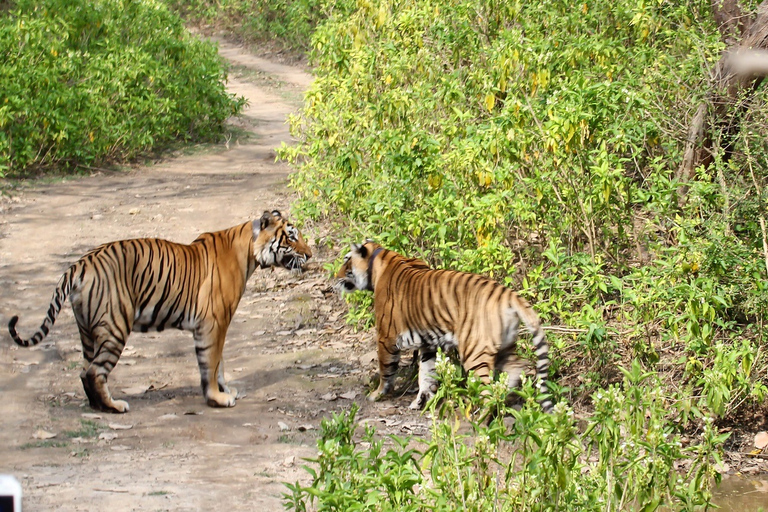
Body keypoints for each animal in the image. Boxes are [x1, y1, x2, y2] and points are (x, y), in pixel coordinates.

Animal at [7, 210, 310, 414]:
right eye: (291, 237)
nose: (310, 253)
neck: (248, 251)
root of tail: (80, 263)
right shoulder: (214, 323)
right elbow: (212, 363)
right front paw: (217, 398)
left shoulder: (216, 325)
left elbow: (220, 364)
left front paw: (226, 390)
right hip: (115, 327)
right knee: (94, 372)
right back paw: (115, 406)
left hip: (86, 330)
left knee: (84, 371)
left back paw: (97, 406)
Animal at [336, 240, 552, 412]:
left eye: (346, 260)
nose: (335, 278)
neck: (379, 260)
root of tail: (506, 293)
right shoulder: (427, 343)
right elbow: (426, 373)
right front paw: (422, 401)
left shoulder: (385, 337)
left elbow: (386, 370)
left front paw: (377, 394)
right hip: (505, 345)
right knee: (516, 368)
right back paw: (505, 396)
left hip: (475, 351)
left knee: (486, 388)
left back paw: (481, 415)